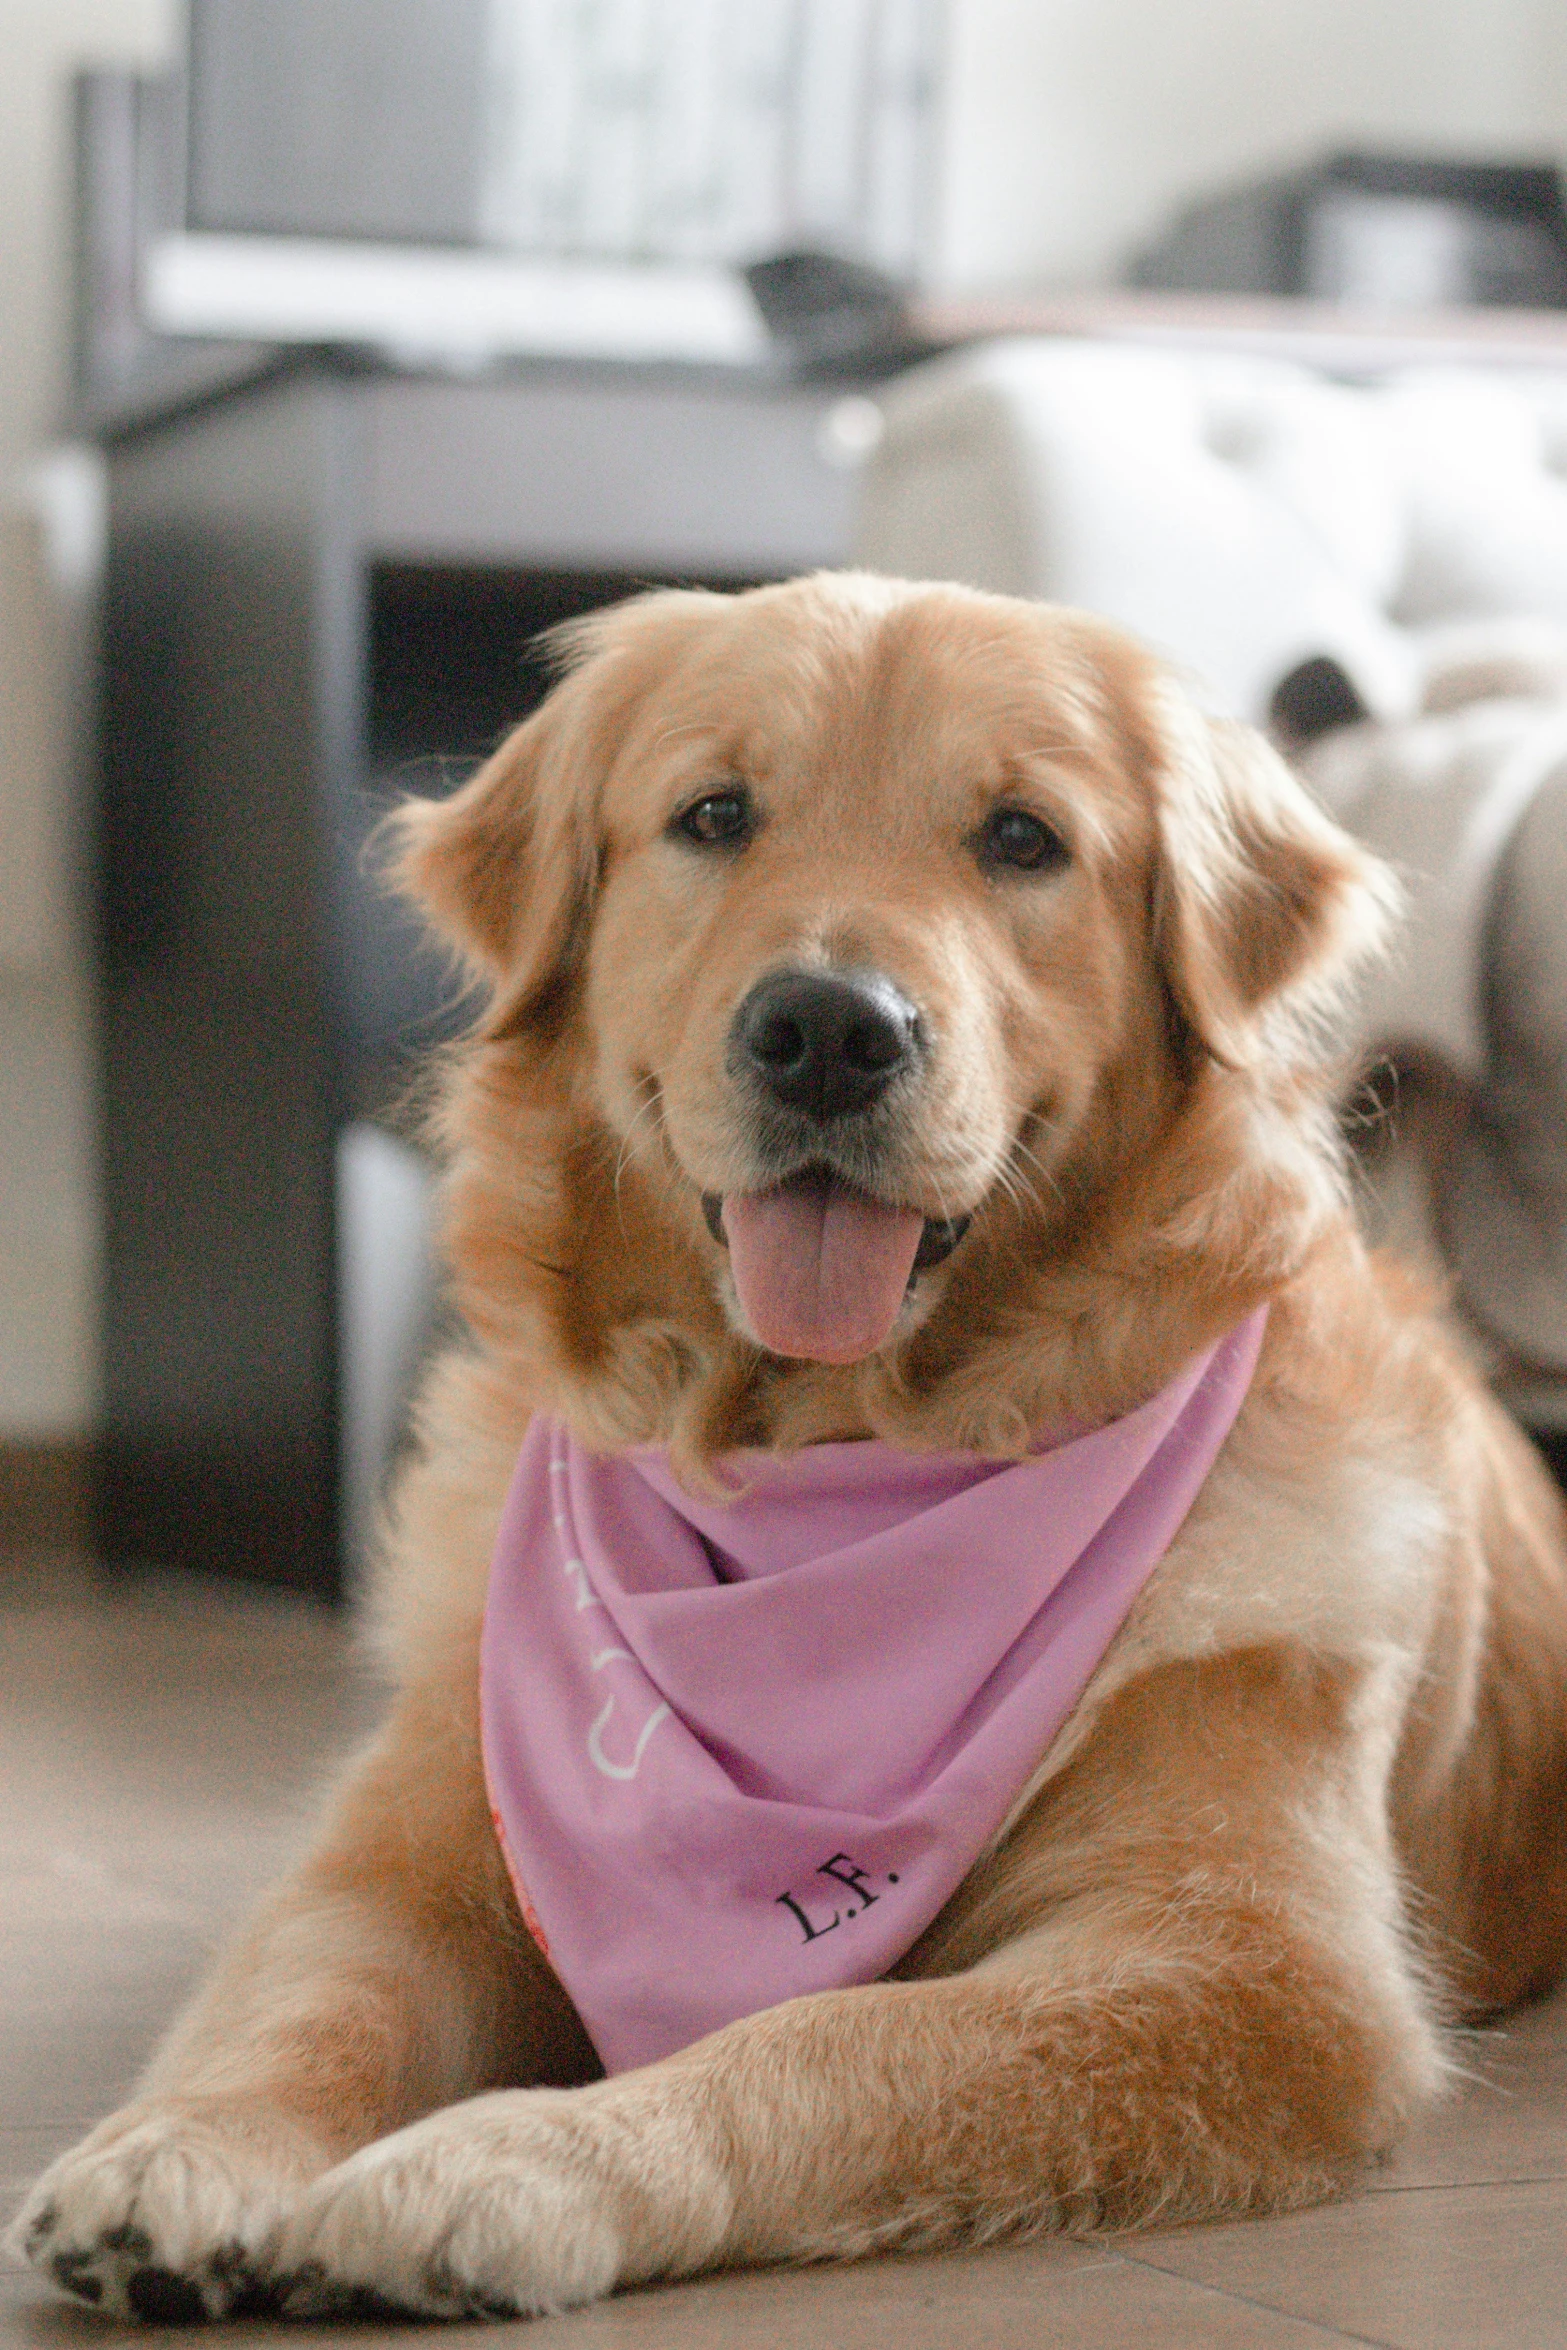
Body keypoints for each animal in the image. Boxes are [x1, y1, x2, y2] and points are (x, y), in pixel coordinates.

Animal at [12, 578, 1567, 2321]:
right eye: (712, 815)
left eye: (1019, 838)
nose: (827, 1029)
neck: (826, 1470)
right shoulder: (414, 1844)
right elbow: (312, 1995)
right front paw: (183, 2146)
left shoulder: (1251, 1964)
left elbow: (827, 2033)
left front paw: (505, 2162)